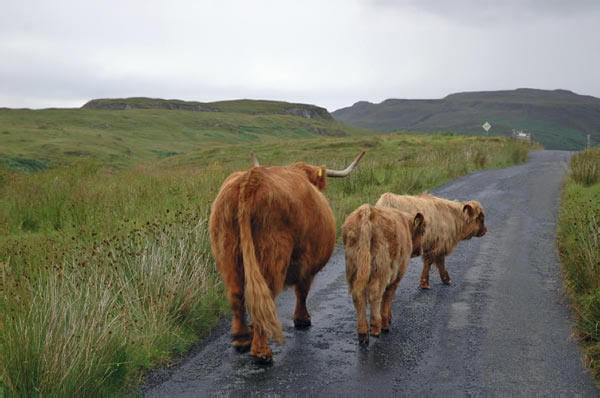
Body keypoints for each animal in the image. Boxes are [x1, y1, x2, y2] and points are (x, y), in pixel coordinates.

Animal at [209, 152, 364, 364]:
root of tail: (251, 179)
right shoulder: (307, 264)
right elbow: (302, 290)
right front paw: (302, 319)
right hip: (272, 255)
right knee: (264, 298)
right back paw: (262, 352)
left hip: (227, 253)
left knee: (237, 295)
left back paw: (241, 339)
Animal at [342, 204, 426, 344]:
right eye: (422, 231)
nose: (420, 251)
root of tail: (367, 210)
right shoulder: (397, 274)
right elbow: (388, 296)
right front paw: (386, 320)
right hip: (381, 269)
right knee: (375, 294)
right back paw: (377, 327)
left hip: (354, 268)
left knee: (358, 296)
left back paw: (363, 333)